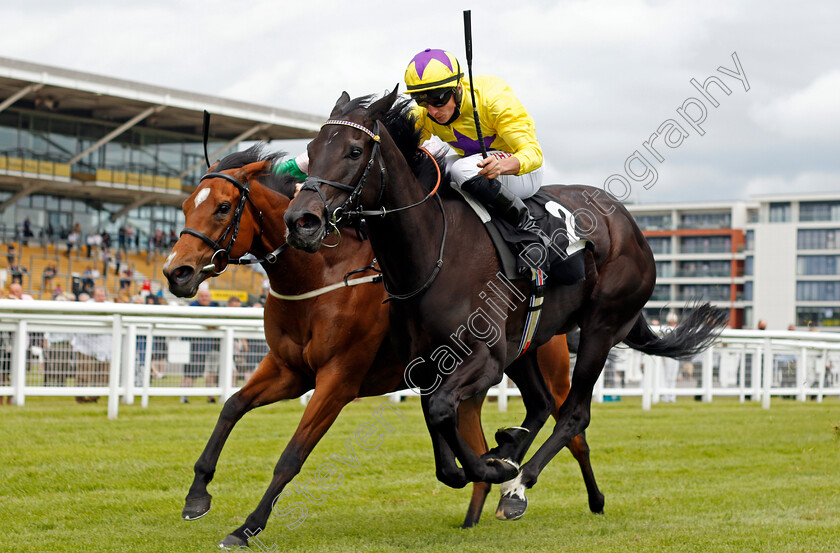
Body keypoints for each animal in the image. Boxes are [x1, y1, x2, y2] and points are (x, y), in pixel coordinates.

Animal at [159, 147, 604, 548]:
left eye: (222, 207)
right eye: (184, 207)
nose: (175, 272)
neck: (320, 276)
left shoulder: (338, 380)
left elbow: (292, 455)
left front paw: (247, 527)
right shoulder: (289, 370)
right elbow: (232, 406)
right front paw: (197, 495)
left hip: (550, 370)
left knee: (573, 429)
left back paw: (583, 500)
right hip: (492, 373)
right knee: (486, 434)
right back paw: (481, 503)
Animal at [284, 91, 728, 500]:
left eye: (354, 150)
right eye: (310, 151)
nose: (301, 220)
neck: (433, 249)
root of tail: (631, 225)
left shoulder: (485, 357)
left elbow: (442, 410)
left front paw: (490, 468)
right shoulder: (426, 362)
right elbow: (436, 426)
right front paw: (481, 460)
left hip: (600, 328)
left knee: (573, 413)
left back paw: (519, 482)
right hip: (527, 340)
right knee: (541, 403)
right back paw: (513, 449)